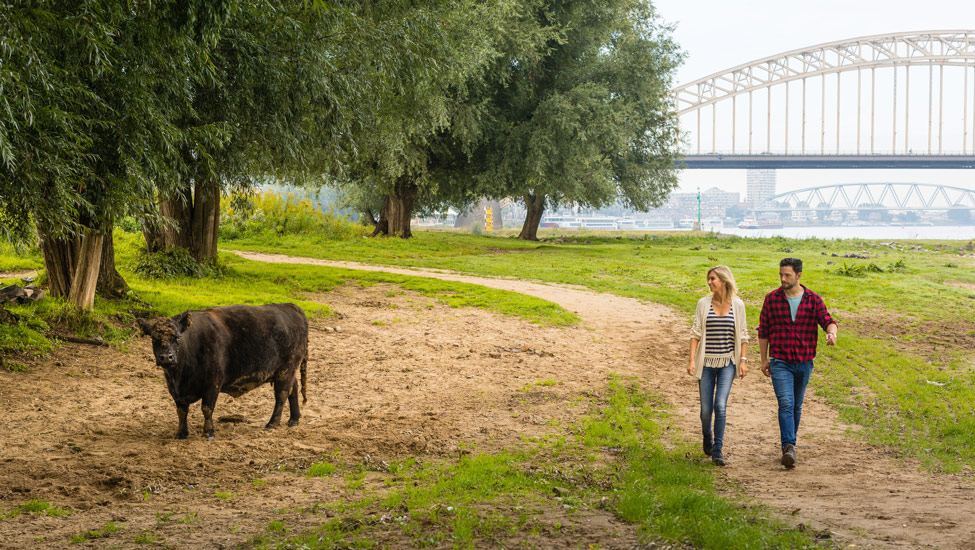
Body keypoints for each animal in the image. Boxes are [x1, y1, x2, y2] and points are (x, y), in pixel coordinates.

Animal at [137, 304, 308, 442]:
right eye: (154, 339)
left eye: (177, 337)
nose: (166, 357)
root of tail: (291, 306)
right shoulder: (175, 390)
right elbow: (181, 411)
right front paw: (181, 433)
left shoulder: (213, 383)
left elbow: (207, 408)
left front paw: (208, 432)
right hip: (288, 372)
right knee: (293, 389)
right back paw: (294, 419)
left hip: (285, 370)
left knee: (282, 395)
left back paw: (272, 423)